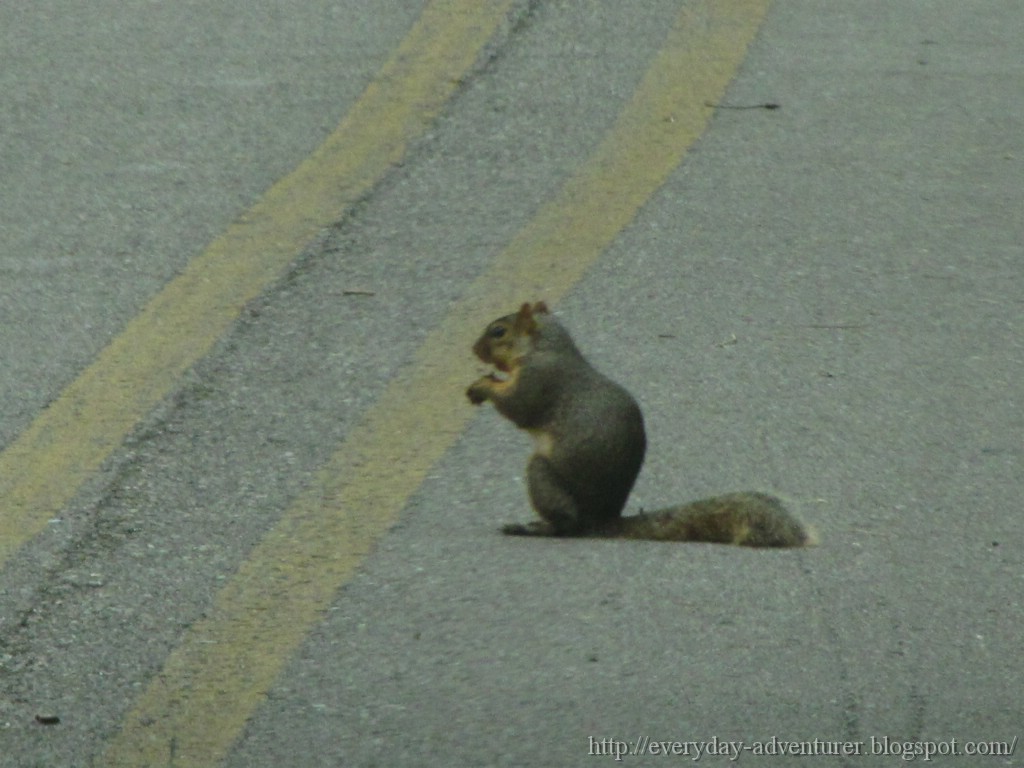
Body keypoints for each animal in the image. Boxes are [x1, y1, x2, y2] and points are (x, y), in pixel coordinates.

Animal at [466, 301, 813, 547]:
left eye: (498, 331)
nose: (473, 349)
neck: (545, 347)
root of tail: (600, 521)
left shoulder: (540, 380)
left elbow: (518, 407)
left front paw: (482, 385)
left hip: (546, 478)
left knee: (566, 524)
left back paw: (533, 527)